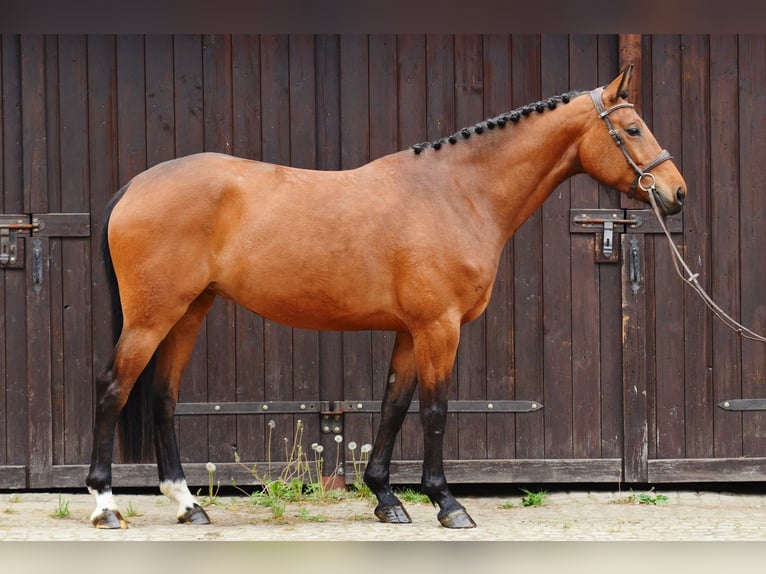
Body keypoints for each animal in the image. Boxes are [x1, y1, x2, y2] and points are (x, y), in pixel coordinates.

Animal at [85, 65, 686, 529]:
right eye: (633, 128)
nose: (676, 193)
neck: (457, 193)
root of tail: (136, 186)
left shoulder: (408, 331)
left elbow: (392, 408)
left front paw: (386, 498)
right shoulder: (439, 327)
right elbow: (435, 411)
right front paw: (447, 503)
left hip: (188, 312)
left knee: (162, 399)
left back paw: (188, 505)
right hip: (151, 317)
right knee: (113, 389)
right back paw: (105, 505)